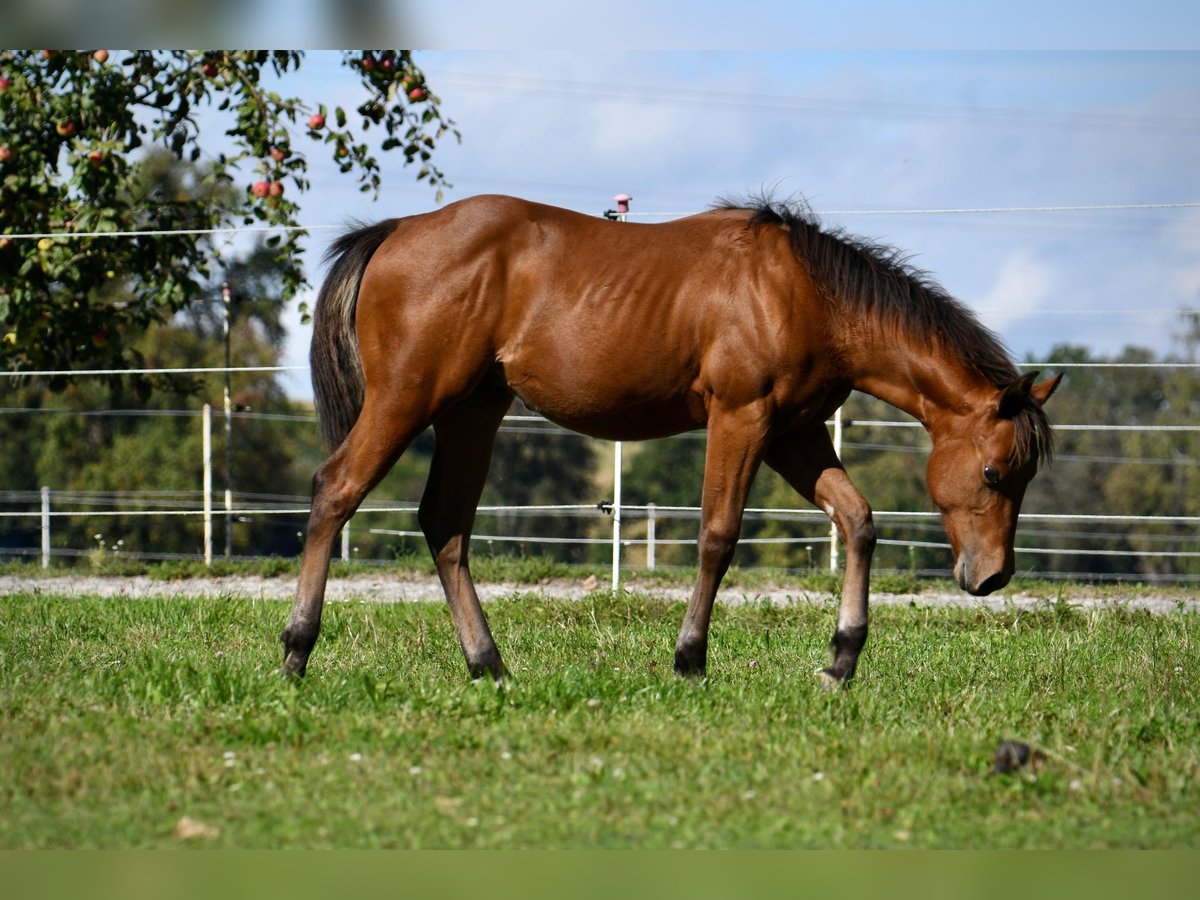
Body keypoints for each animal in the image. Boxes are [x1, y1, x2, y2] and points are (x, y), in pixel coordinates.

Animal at [282, 194, 1061, 687]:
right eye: (994, 474)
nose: (992, 577)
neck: (805, 293)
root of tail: (397, 229)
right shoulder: (741, 419)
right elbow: (717, 536)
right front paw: (690, 659)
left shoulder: (795, 433)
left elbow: (859, 521)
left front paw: (841, 661)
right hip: (406, 401)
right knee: (334, 492)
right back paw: (296, 651)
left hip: (473, 414)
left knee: (445, 526)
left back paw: (490, 666)